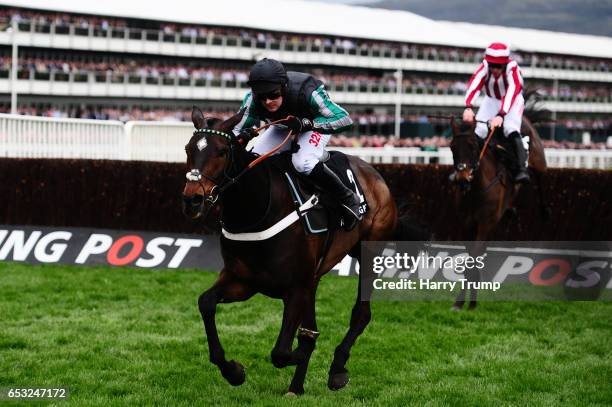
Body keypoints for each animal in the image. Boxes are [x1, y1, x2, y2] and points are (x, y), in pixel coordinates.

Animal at [182, 107, 420, 394]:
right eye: (188, 149)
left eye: (220, 151)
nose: (192, 199)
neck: (259, 209)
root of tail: (375, 175)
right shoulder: (243, 281)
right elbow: (206, 303)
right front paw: (234, 371)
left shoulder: (295, 288)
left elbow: (283, 351)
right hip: (315, 276)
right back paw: (296, 387)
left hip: (369, 252)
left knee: (361, 314)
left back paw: (337, 369)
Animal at [448, 115, 548, 310]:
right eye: (452, 147)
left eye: (473, 146)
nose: (462, 179)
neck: (476, 190)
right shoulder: (467, 224)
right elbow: (472, 260)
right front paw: (465, 302)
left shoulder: (485, 224)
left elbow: (473, 260)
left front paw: (464, 302)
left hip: (539, 161)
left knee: (541, 177)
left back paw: (544, 211)